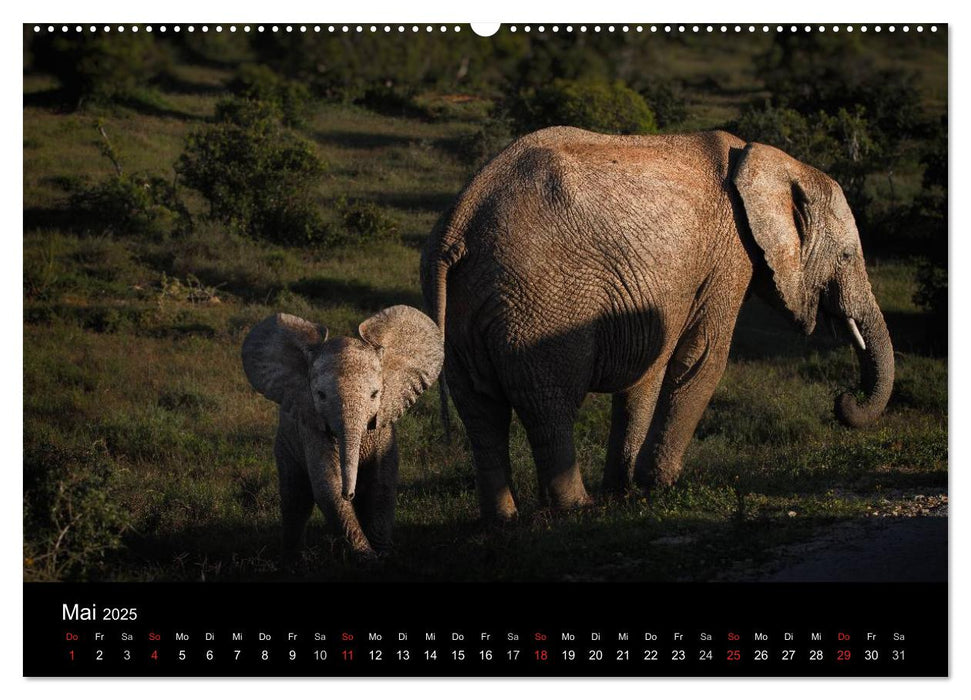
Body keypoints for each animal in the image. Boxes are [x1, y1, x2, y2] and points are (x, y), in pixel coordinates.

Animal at [243, 304, 444, 560]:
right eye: (320, 395)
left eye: (375, 394)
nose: (349, 494)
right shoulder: (313, 429)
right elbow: (328, 487)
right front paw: (368, 558)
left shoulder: (384, 427)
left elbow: (382, 485)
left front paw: (382, 555)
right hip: (286, 441)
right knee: (295, 498)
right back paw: (292, 558)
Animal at [422, 127, 892, 520]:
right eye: (846, 256)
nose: (844, 399)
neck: (765, 159)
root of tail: (457, 225)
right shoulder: (729, 257)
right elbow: (704, 357)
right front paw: (659, 487)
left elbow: (647, 369)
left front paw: (625, 491)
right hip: (537, 303)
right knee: (549, 404)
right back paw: (577, 510)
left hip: (464, 315)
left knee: (481, 412)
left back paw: (503, 520)